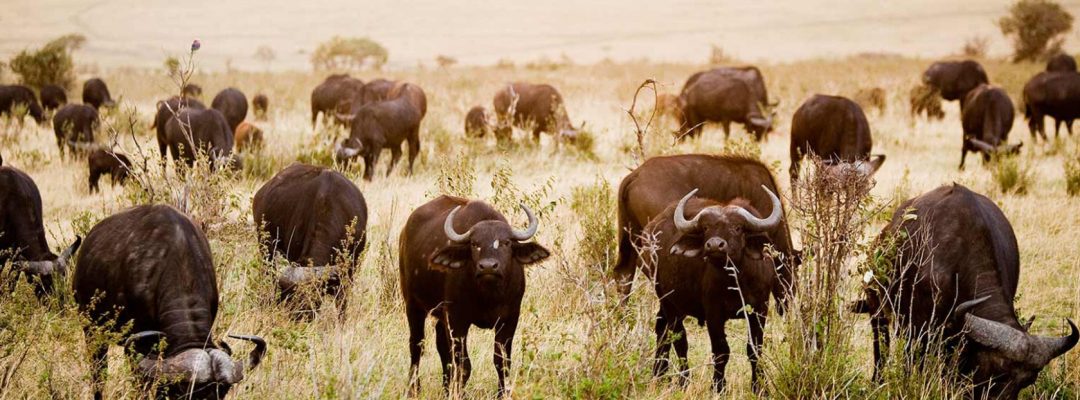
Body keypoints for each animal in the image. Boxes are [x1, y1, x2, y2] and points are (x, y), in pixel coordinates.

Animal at [400, 196, 550, 395]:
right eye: (475, 244)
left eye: (506, 242)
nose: (488, 266)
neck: (488, 295)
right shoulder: (457, 320)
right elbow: (464, 365)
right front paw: (459, 392)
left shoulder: (510, 318)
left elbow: (502, 362)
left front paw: (502, 393)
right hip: (412, 305)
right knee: (416, 345)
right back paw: (414, 388)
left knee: (441, 345)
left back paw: (445, 387)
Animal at [643, 185, 784, 392]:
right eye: (706, 228)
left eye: (737, 227)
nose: (714, 245)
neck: (736, 281)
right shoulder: (713, 312)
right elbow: (721, 350)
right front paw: (718, 386)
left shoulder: (760, 309)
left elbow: (754, 349)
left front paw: (759, 387)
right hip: (668, 300)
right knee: (679, 339)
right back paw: (683, 381)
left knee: (662, 329)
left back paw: (659, 374)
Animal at [856, 184, 1077, 399]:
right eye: (995, 376)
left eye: (1026, 382)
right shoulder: (917, 328)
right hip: (877, 308)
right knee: (881, 345)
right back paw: (877, 380)